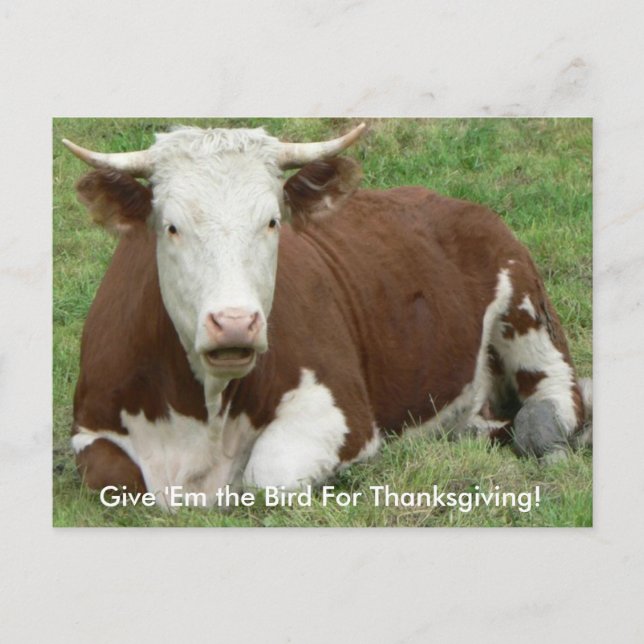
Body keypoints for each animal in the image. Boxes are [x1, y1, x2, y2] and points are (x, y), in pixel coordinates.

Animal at [63, 122, 591, 508]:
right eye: (172, 226)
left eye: (272, 221)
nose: (235, 323)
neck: (203, 412)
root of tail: (445, 199)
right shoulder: (91, 427)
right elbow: (117, 478)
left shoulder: (342, 412)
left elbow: (268, 473)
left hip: (527, 310)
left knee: (557, 394)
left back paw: (543, 436)